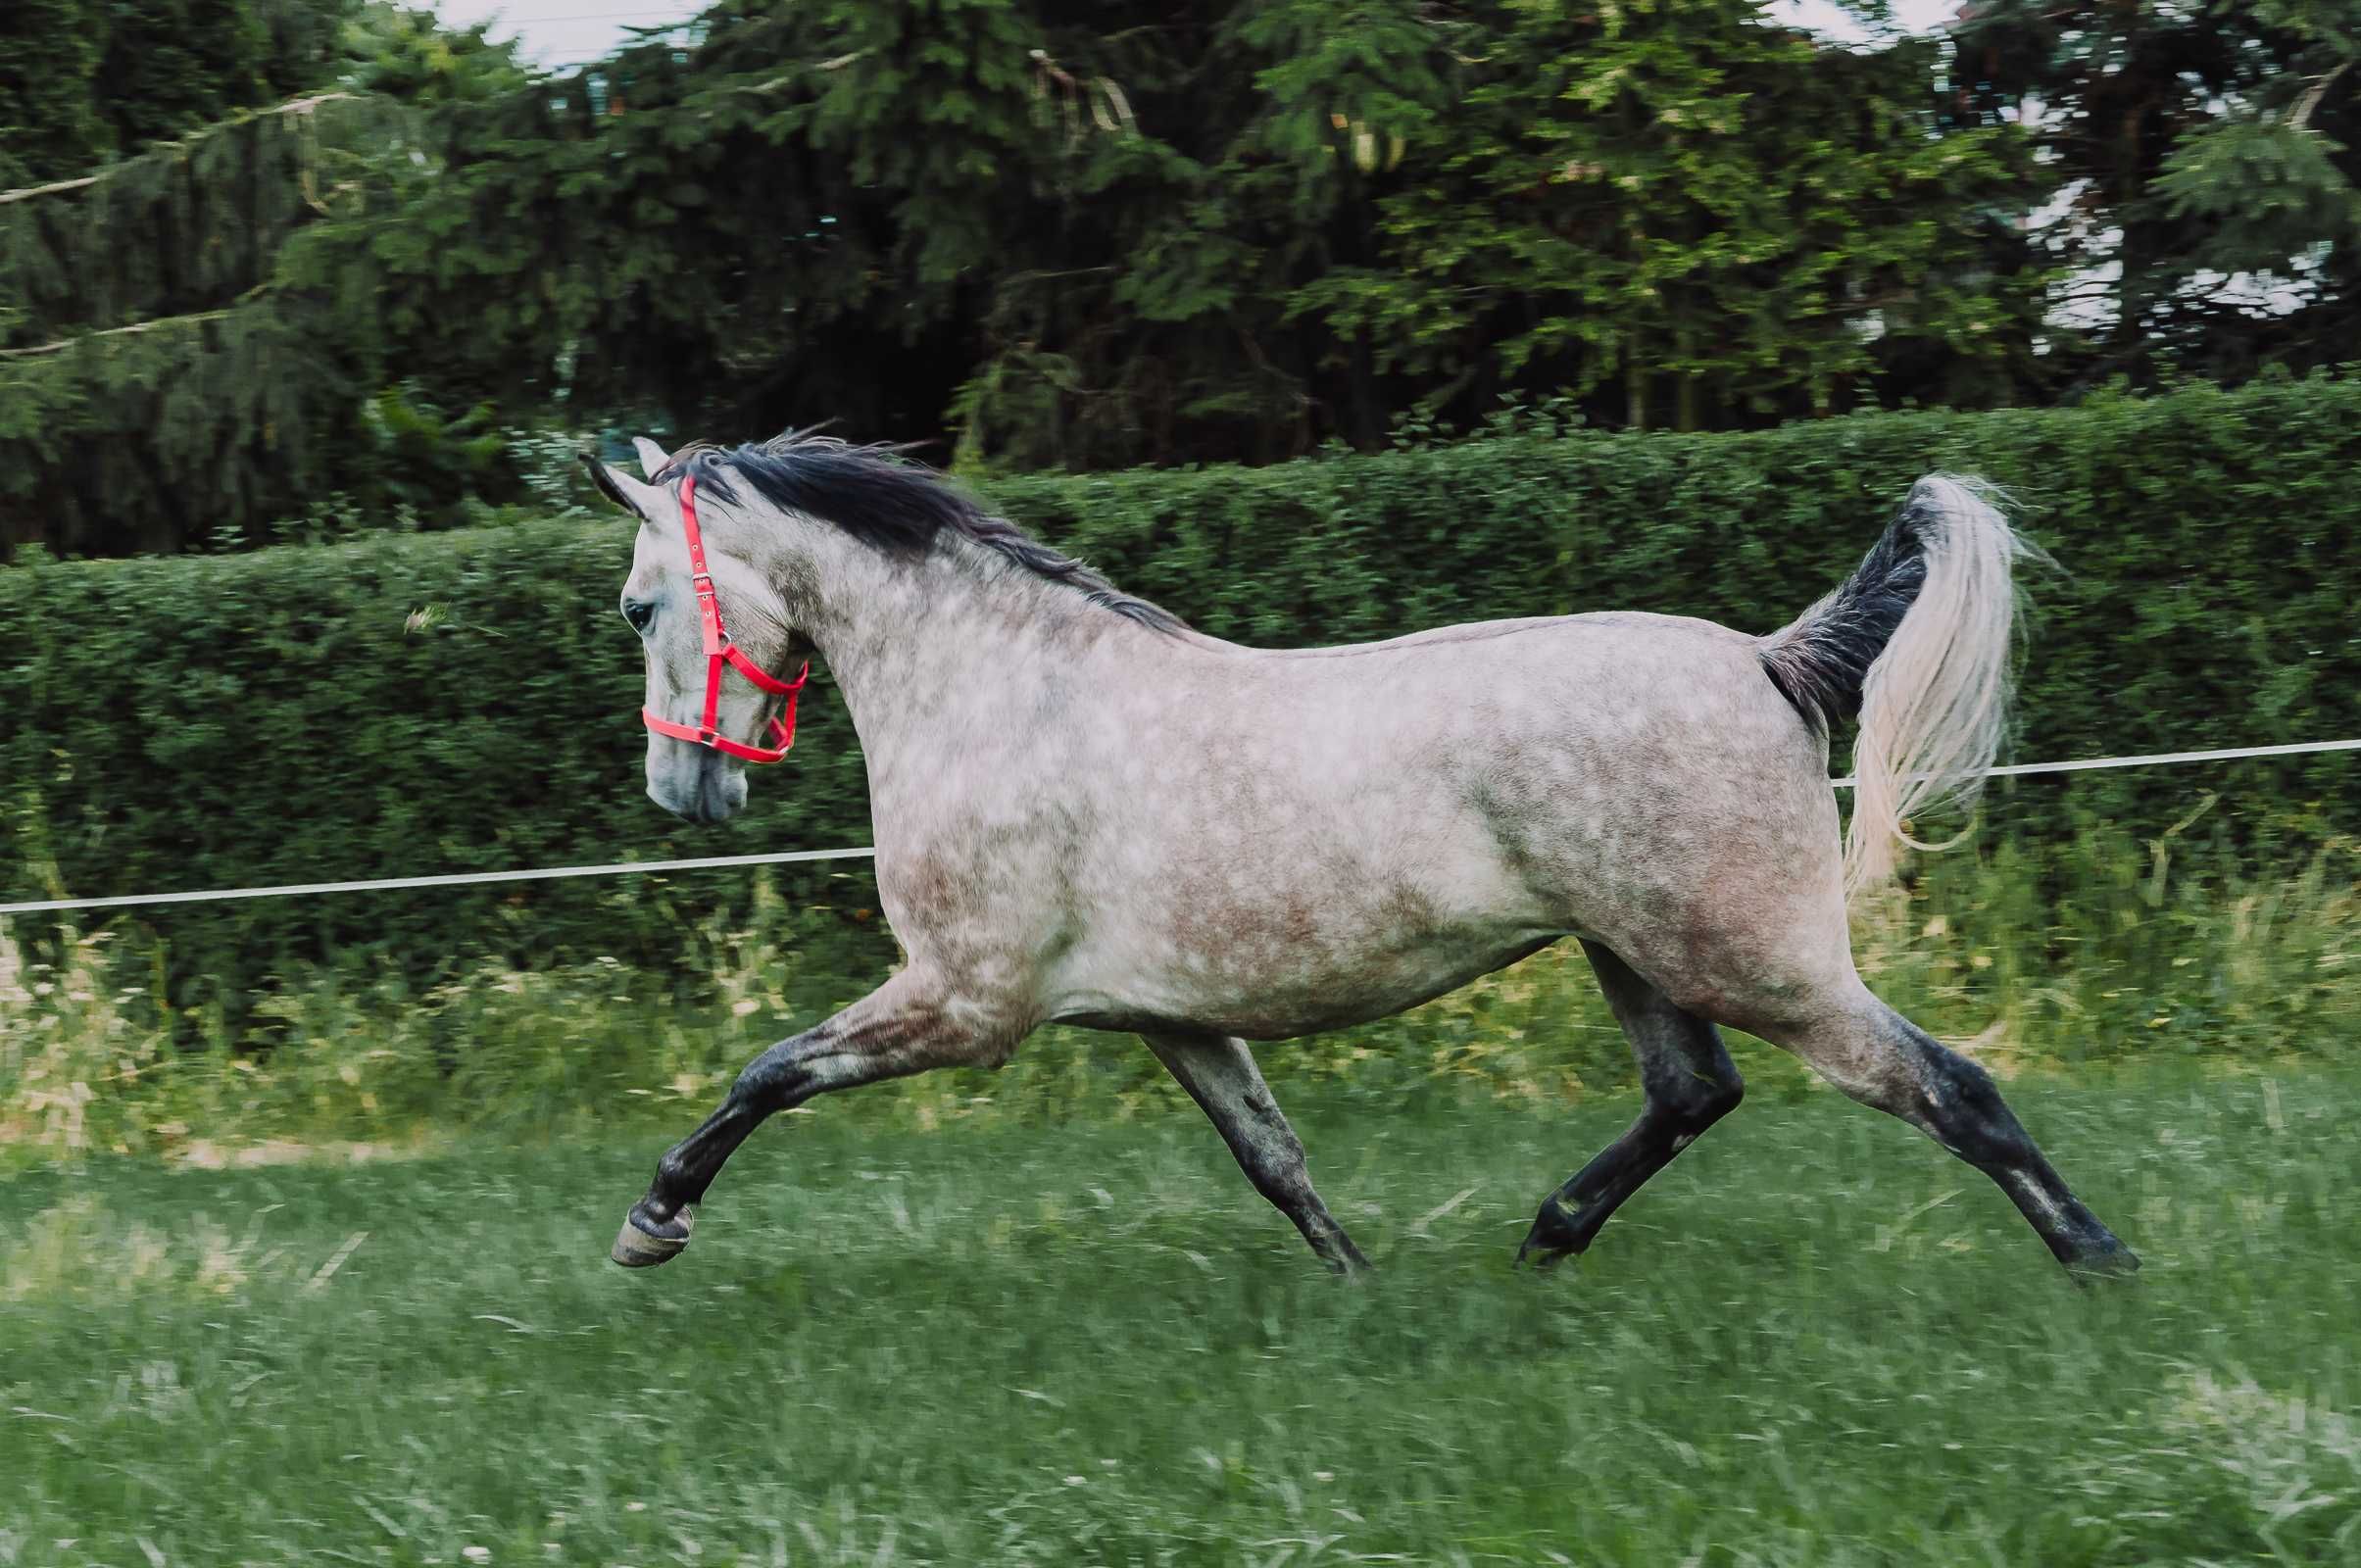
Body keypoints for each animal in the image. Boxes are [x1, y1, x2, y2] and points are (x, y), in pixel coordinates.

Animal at [590, 434, 2143, 1284]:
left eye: (637, 603)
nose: (684, 788)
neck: (1003, 692)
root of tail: (1773, 659)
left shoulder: (964, 1003)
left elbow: (767, 1072)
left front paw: (652, 1223)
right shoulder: (1170, 1019)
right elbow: (1275, 1163)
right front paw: (1359, 1285)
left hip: (1755, 958)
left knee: (1950, 1088)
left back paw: (2106, 1266)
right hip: (1634, 952)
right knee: (1694, 1095)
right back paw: (1545, 1237)